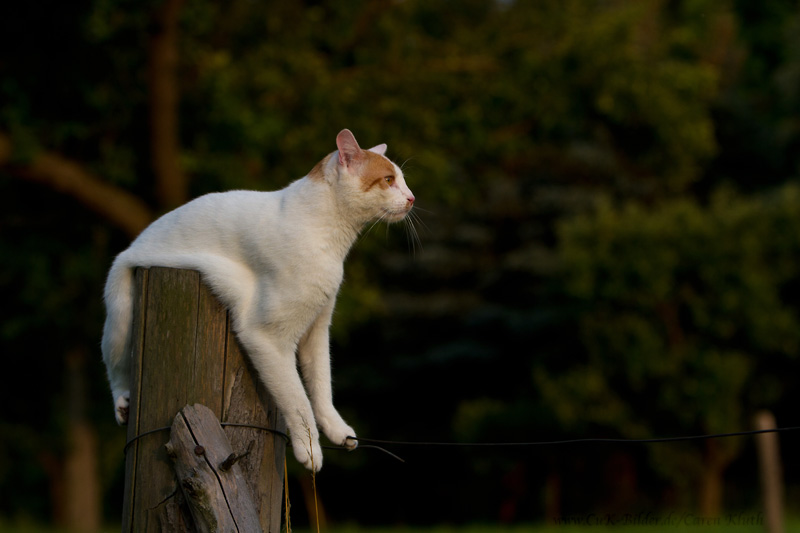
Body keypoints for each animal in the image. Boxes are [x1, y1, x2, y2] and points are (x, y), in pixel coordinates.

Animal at [101, 129, 416, 470]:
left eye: (402, 180)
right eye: (388, 180)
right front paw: (310, 448)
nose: (412, 198)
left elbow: (321, 386)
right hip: (120, 320)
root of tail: (138, 239)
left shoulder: (316, 331)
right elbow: (298, 400)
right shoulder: (266, 337)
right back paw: (122, 403)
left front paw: (337, 430)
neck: (329, 238)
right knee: (116, 368)